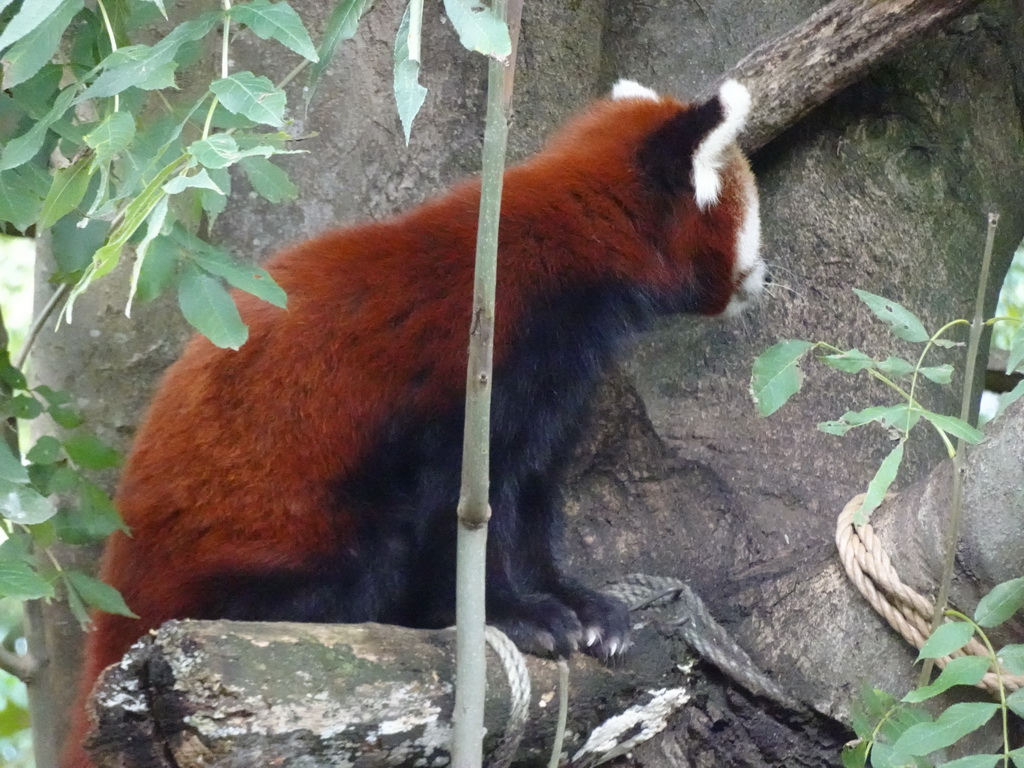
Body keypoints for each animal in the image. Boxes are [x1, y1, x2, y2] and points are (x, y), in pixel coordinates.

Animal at [64, 79, 761, 768]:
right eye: (751, 225)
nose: (766, 274)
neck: (583, 244)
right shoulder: (488, 360)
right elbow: (463, 505)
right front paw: (514, 614)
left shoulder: (555, 385)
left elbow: (533, 494)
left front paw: (581, 604)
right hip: (273, 537)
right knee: (361, 559)